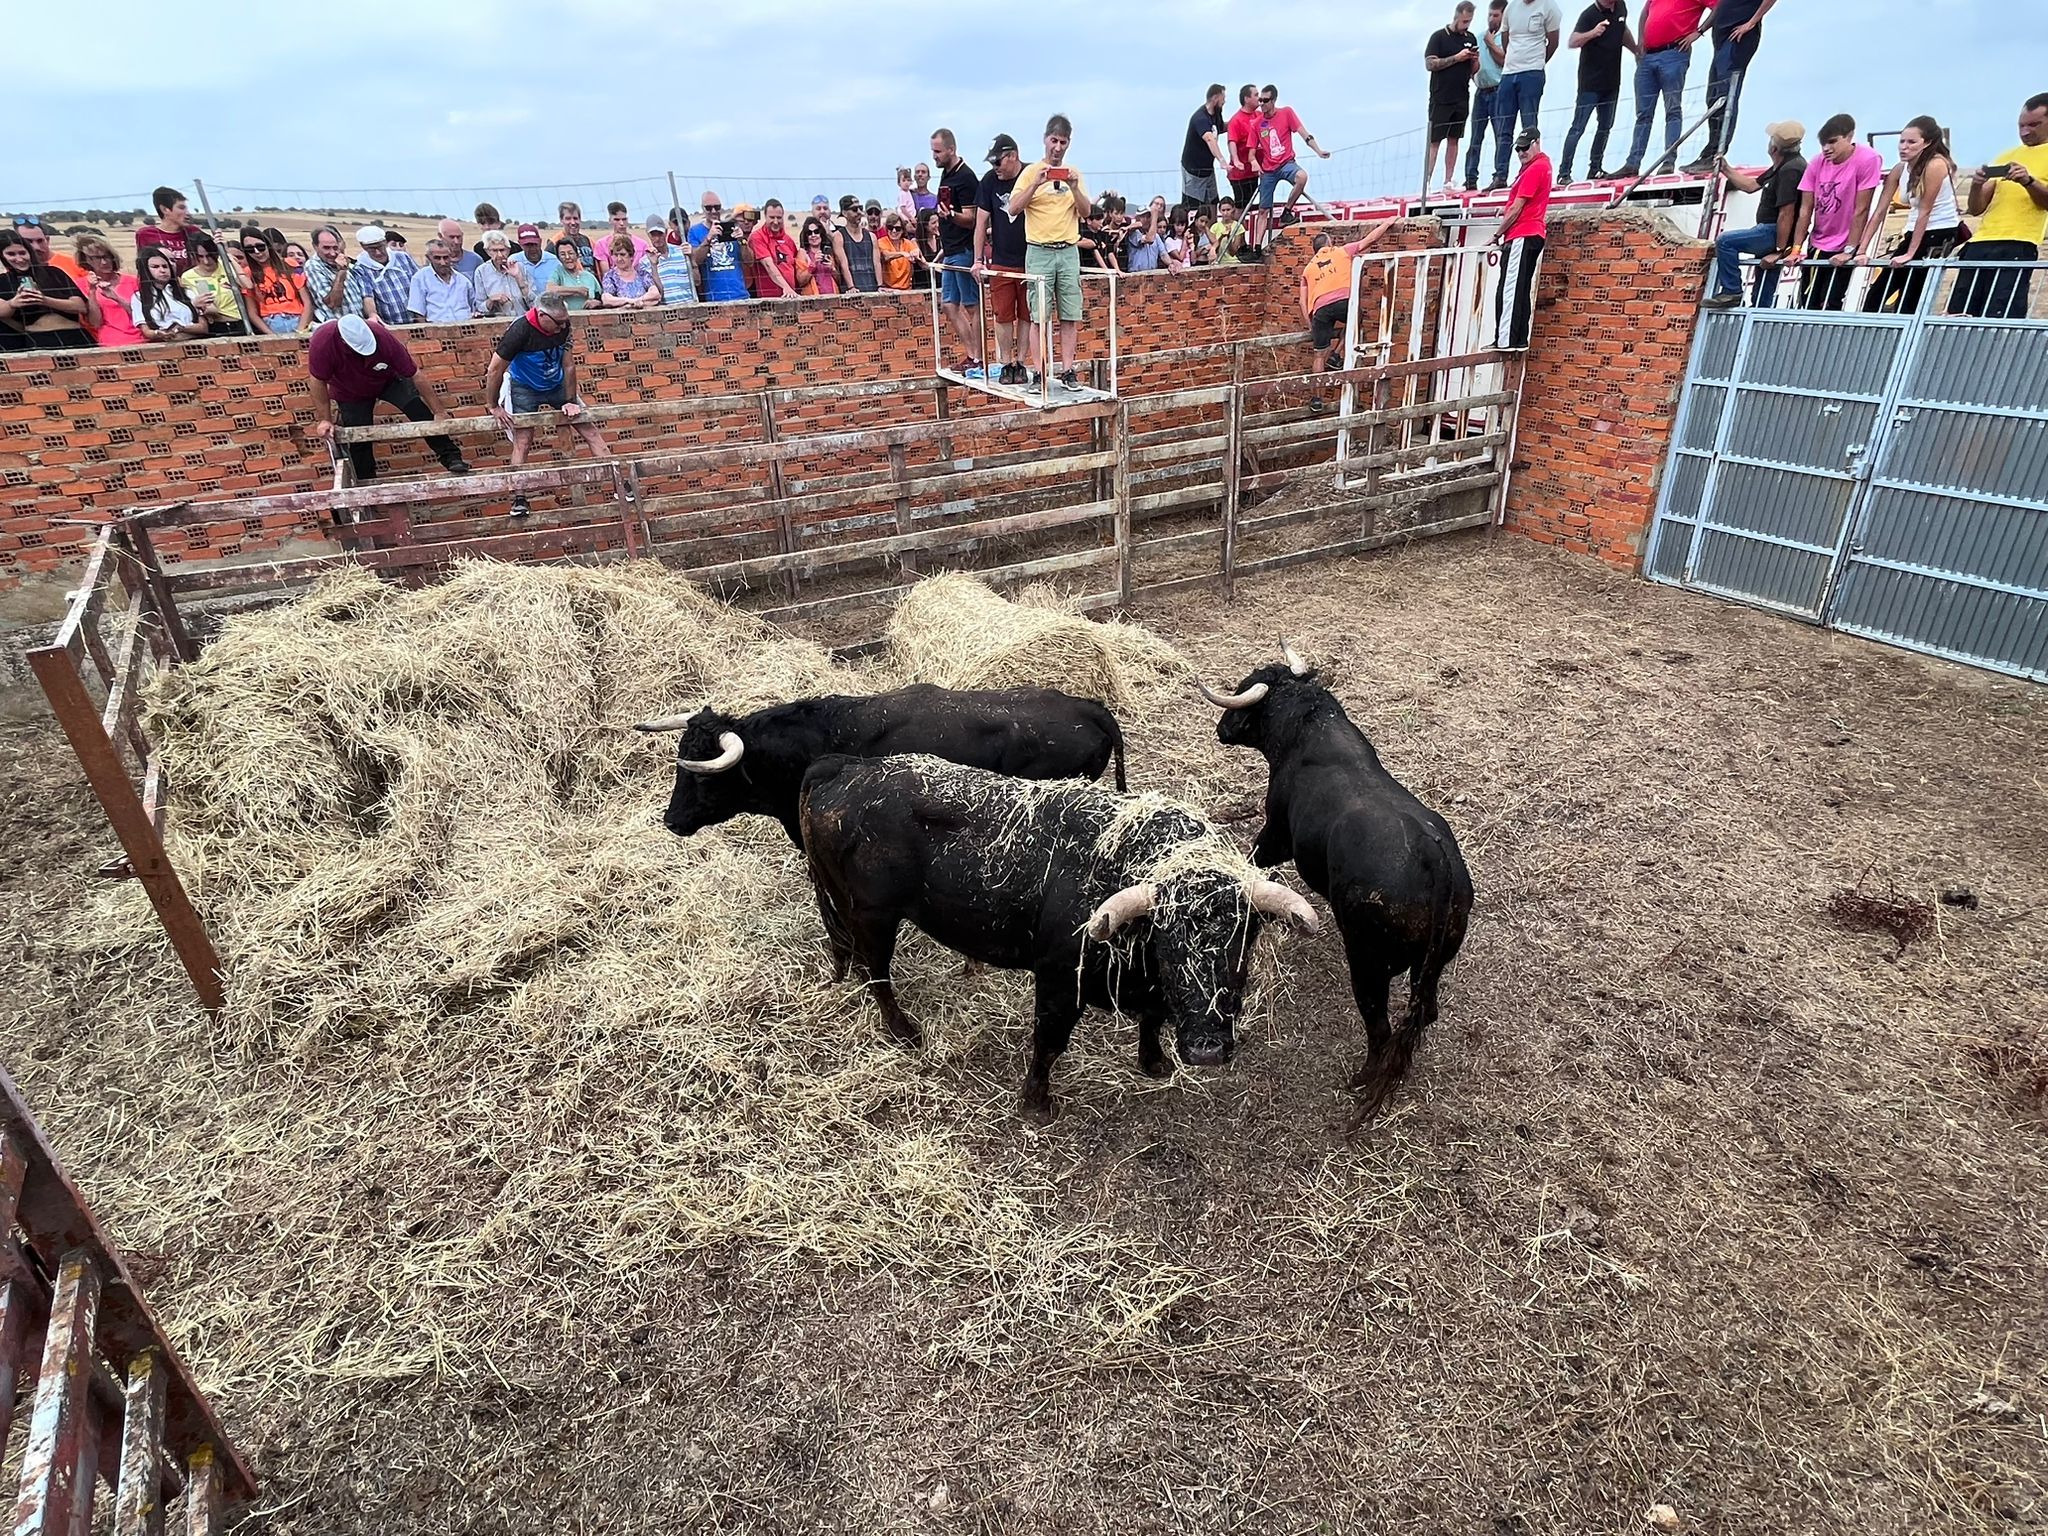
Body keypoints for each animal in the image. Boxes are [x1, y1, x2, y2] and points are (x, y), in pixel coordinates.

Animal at [790, 757, 1318, 1122]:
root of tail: (844, 765)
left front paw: (1154, 1062)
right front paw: (1035, 1101)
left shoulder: (1148, 990)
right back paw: (904, 1030)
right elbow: (1048, 1042)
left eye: (1241, 943)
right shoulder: (1060, 980)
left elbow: (1151, 1021)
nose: (1207, 1050)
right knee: (876, 972)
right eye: (1168, 942)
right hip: (873, 916)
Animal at [1196, 643, 1474, 1122]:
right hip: (1430, 968)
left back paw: (1362, 1079)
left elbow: (1256, 863)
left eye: (1244, 691)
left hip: (1368, 966)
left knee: (1380, 1028)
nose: (1221, 729)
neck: (1308, 730)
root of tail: (1434, 863)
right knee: (1424, 1013)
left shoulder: (1275, 836)